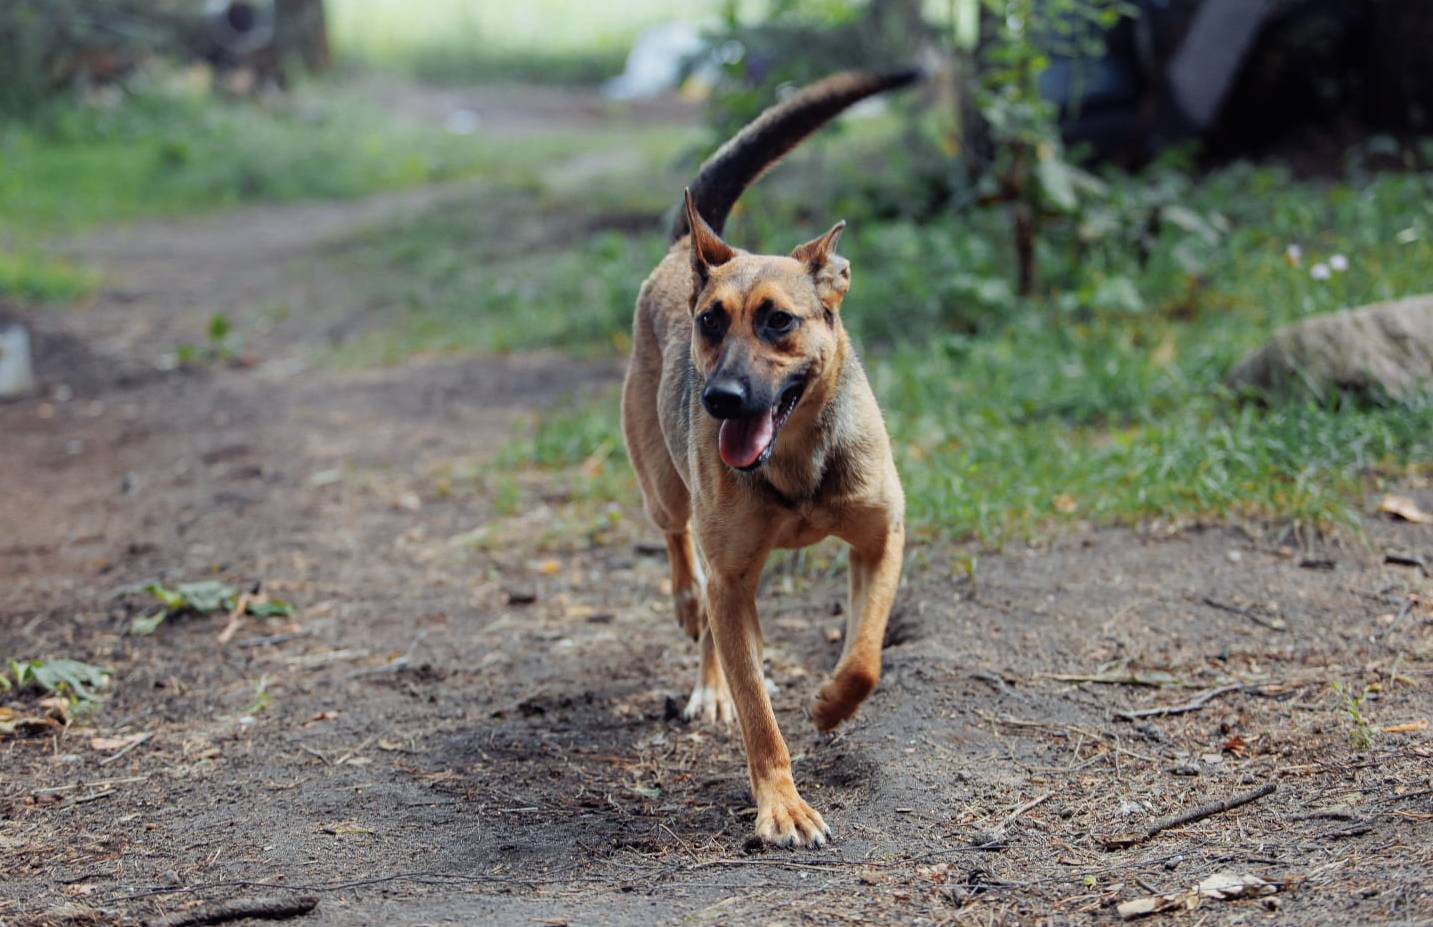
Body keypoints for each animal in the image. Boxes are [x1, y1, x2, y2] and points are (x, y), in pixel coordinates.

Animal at [619, 72, 911, 848]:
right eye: (710, 322)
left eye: (779, 320)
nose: (719, 399)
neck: (796, 464)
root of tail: (683, 253)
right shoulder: (730, 573)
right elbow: (758, 718)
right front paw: (782, 804)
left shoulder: (881, 536)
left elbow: (866, 655)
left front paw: (832, 704)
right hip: (667, 489)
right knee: (682, 550)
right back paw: (695, 630)